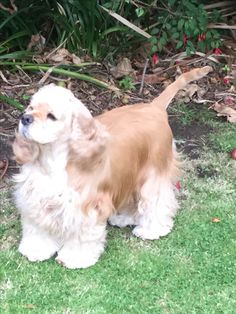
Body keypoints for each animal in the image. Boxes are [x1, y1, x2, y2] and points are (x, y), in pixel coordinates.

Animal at [12, 65, 212, 268]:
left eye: (51, 116)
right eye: (31, 108)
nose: (25, 118)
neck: (52, 160)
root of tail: (154, 107)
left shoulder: (88, 206)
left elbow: (82, 236)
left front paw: (75, 258)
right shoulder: (34, 198)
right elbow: (37, 228)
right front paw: (36, 249)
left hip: (153, 174)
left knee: (156, 202)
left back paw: (151, 230)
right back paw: (124, 218)